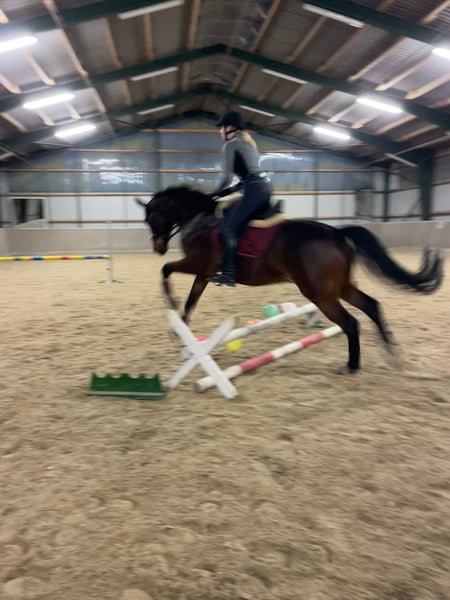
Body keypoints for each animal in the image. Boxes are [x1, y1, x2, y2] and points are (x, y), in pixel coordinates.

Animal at [136, 185, 443, 373]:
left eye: (151, 217)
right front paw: (179, 329)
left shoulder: (196, 264)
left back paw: (351, 366)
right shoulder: (204, 273)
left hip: (319, 293)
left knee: (351, 322)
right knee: (371, 306)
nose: (157, 247)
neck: (199, 220)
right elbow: (191, 301)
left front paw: (171, 302)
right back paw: (391, 352)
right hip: (339, 287)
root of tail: (336, 232)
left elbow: (166, 270)